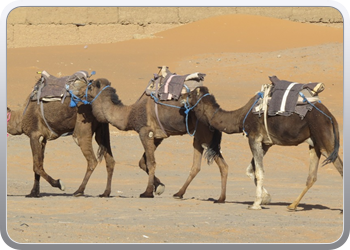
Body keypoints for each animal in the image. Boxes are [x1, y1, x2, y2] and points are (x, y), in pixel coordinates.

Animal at [76, 78, 230, 203]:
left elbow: (151, 163)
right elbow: (143, 163)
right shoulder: (157, 137)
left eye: (90, 86)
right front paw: (159, 187)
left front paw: (147, 192)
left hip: (205, 136)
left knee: (215, 165)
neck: (129, 114)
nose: (78, 92)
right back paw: (190, 194)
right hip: (200, 138)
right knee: (211, 166)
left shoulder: (145, 132)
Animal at [182, 85, 344, 210]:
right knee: (312, 176)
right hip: (315, 144)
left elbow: (259, 171)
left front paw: (256, 204)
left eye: (190, 94)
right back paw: (292, 205)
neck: (240, 117)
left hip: (325, 140)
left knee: (340, 168)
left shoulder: (253, 138)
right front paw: (266, 198)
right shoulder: (265, 143)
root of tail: (330, 116)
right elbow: (251, 170)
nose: (182, 96)